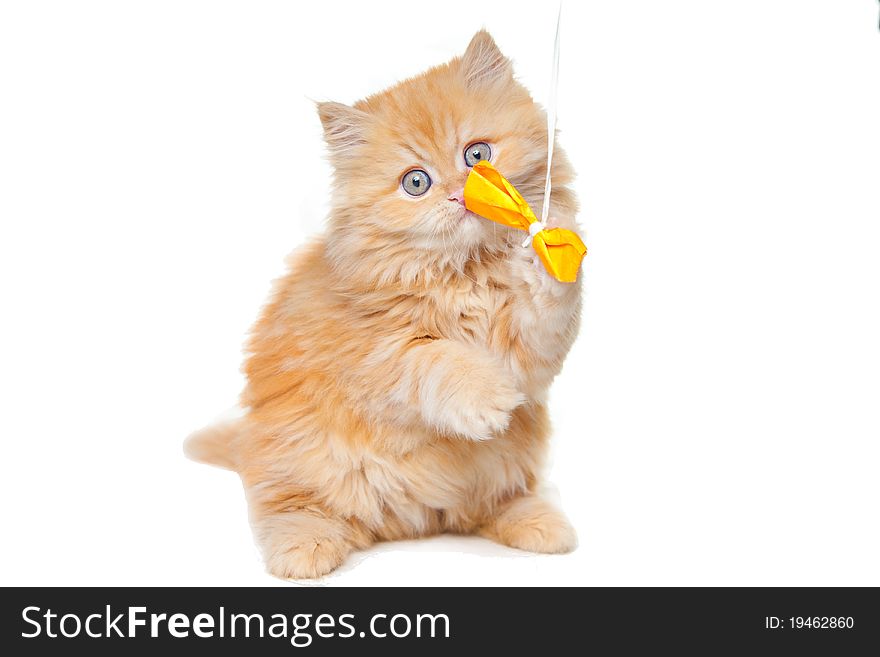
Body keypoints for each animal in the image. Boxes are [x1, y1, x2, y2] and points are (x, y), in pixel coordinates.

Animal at [186, 30, 584, 576]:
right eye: (416, 182)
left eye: (476, 156)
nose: (458, 196)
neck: (466, 272)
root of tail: (414, 522)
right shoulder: (376, 355)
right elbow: (439, 360)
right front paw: (488, 399)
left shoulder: (531, 356)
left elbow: (547, 309)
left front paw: (546, 245)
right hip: (297, 454)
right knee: (290, 508)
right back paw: (304, 550)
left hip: (507, 462)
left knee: (494, 506)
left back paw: (540, 524)